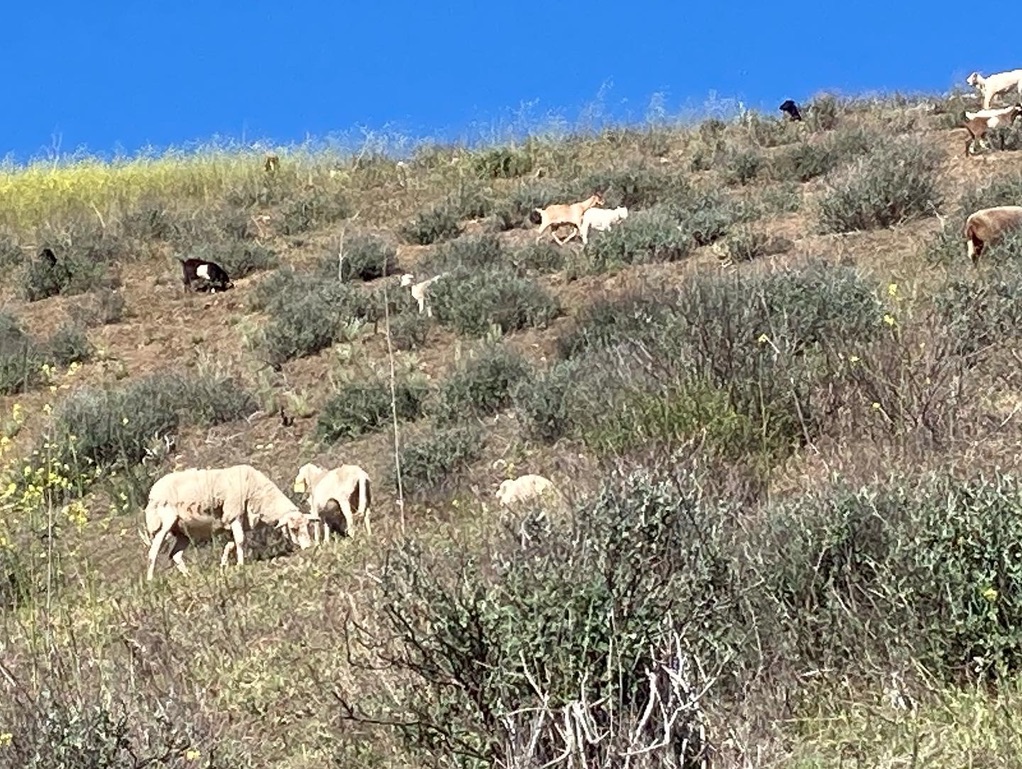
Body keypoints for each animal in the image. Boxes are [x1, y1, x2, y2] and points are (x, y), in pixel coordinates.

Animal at [142, 464, 313, 581]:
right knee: (153, 552)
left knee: (175, 555)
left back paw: (189, 576)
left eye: (307, 526)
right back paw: (150, 579)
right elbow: (240, 541)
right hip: (163, 523)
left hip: (183, 531)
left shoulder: (234, 522)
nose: (309, 547)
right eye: (294, 528)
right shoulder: (234, 515)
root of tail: (153, 491)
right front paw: (240, 565)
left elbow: (231, 545)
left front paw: (223, 567)